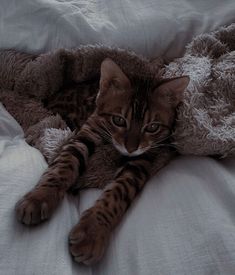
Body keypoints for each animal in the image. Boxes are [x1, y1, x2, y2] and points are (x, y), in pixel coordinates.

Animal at [15, 57, 189, 266]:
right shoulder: (86, 132)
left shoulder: (145, 157)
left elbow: (119, 191)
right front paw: (40, 196)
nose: (131, 148)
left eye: (153, 127)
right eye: (118, 120)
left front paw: (92, 231)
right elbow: (62, 166)